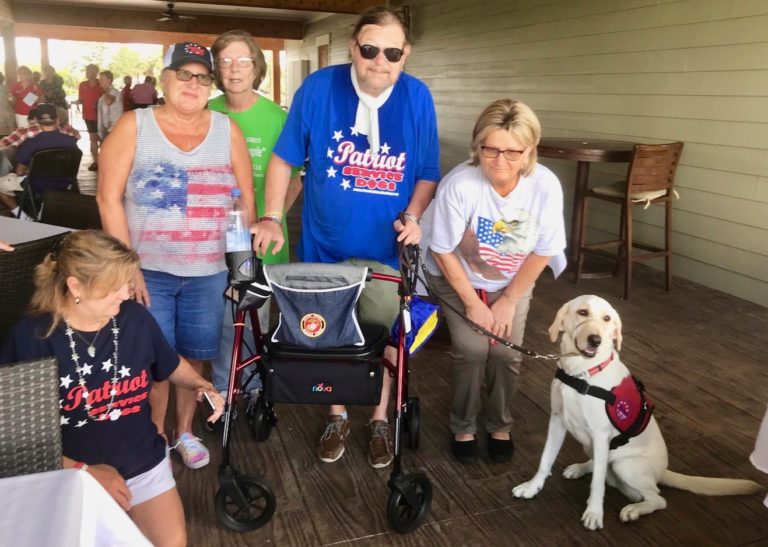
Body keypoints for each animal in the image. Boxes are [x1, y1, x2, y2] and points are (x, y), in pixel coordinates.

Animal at [512, 296, 760, 532]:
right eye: (582, 312)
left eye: (607, 319)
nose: (595, 340)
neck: (581, 373)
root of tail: (662, 471)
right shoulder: (557, 421)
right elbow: (545, 460)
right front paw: (532, 487)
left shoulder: (600, 436)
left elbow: (597, 484)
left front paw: (594, 513)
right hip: (593, 449)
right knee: (603, 467)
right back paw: (581, 468)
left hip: (626, 465)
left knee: (656, 497)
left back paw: (634, 510)